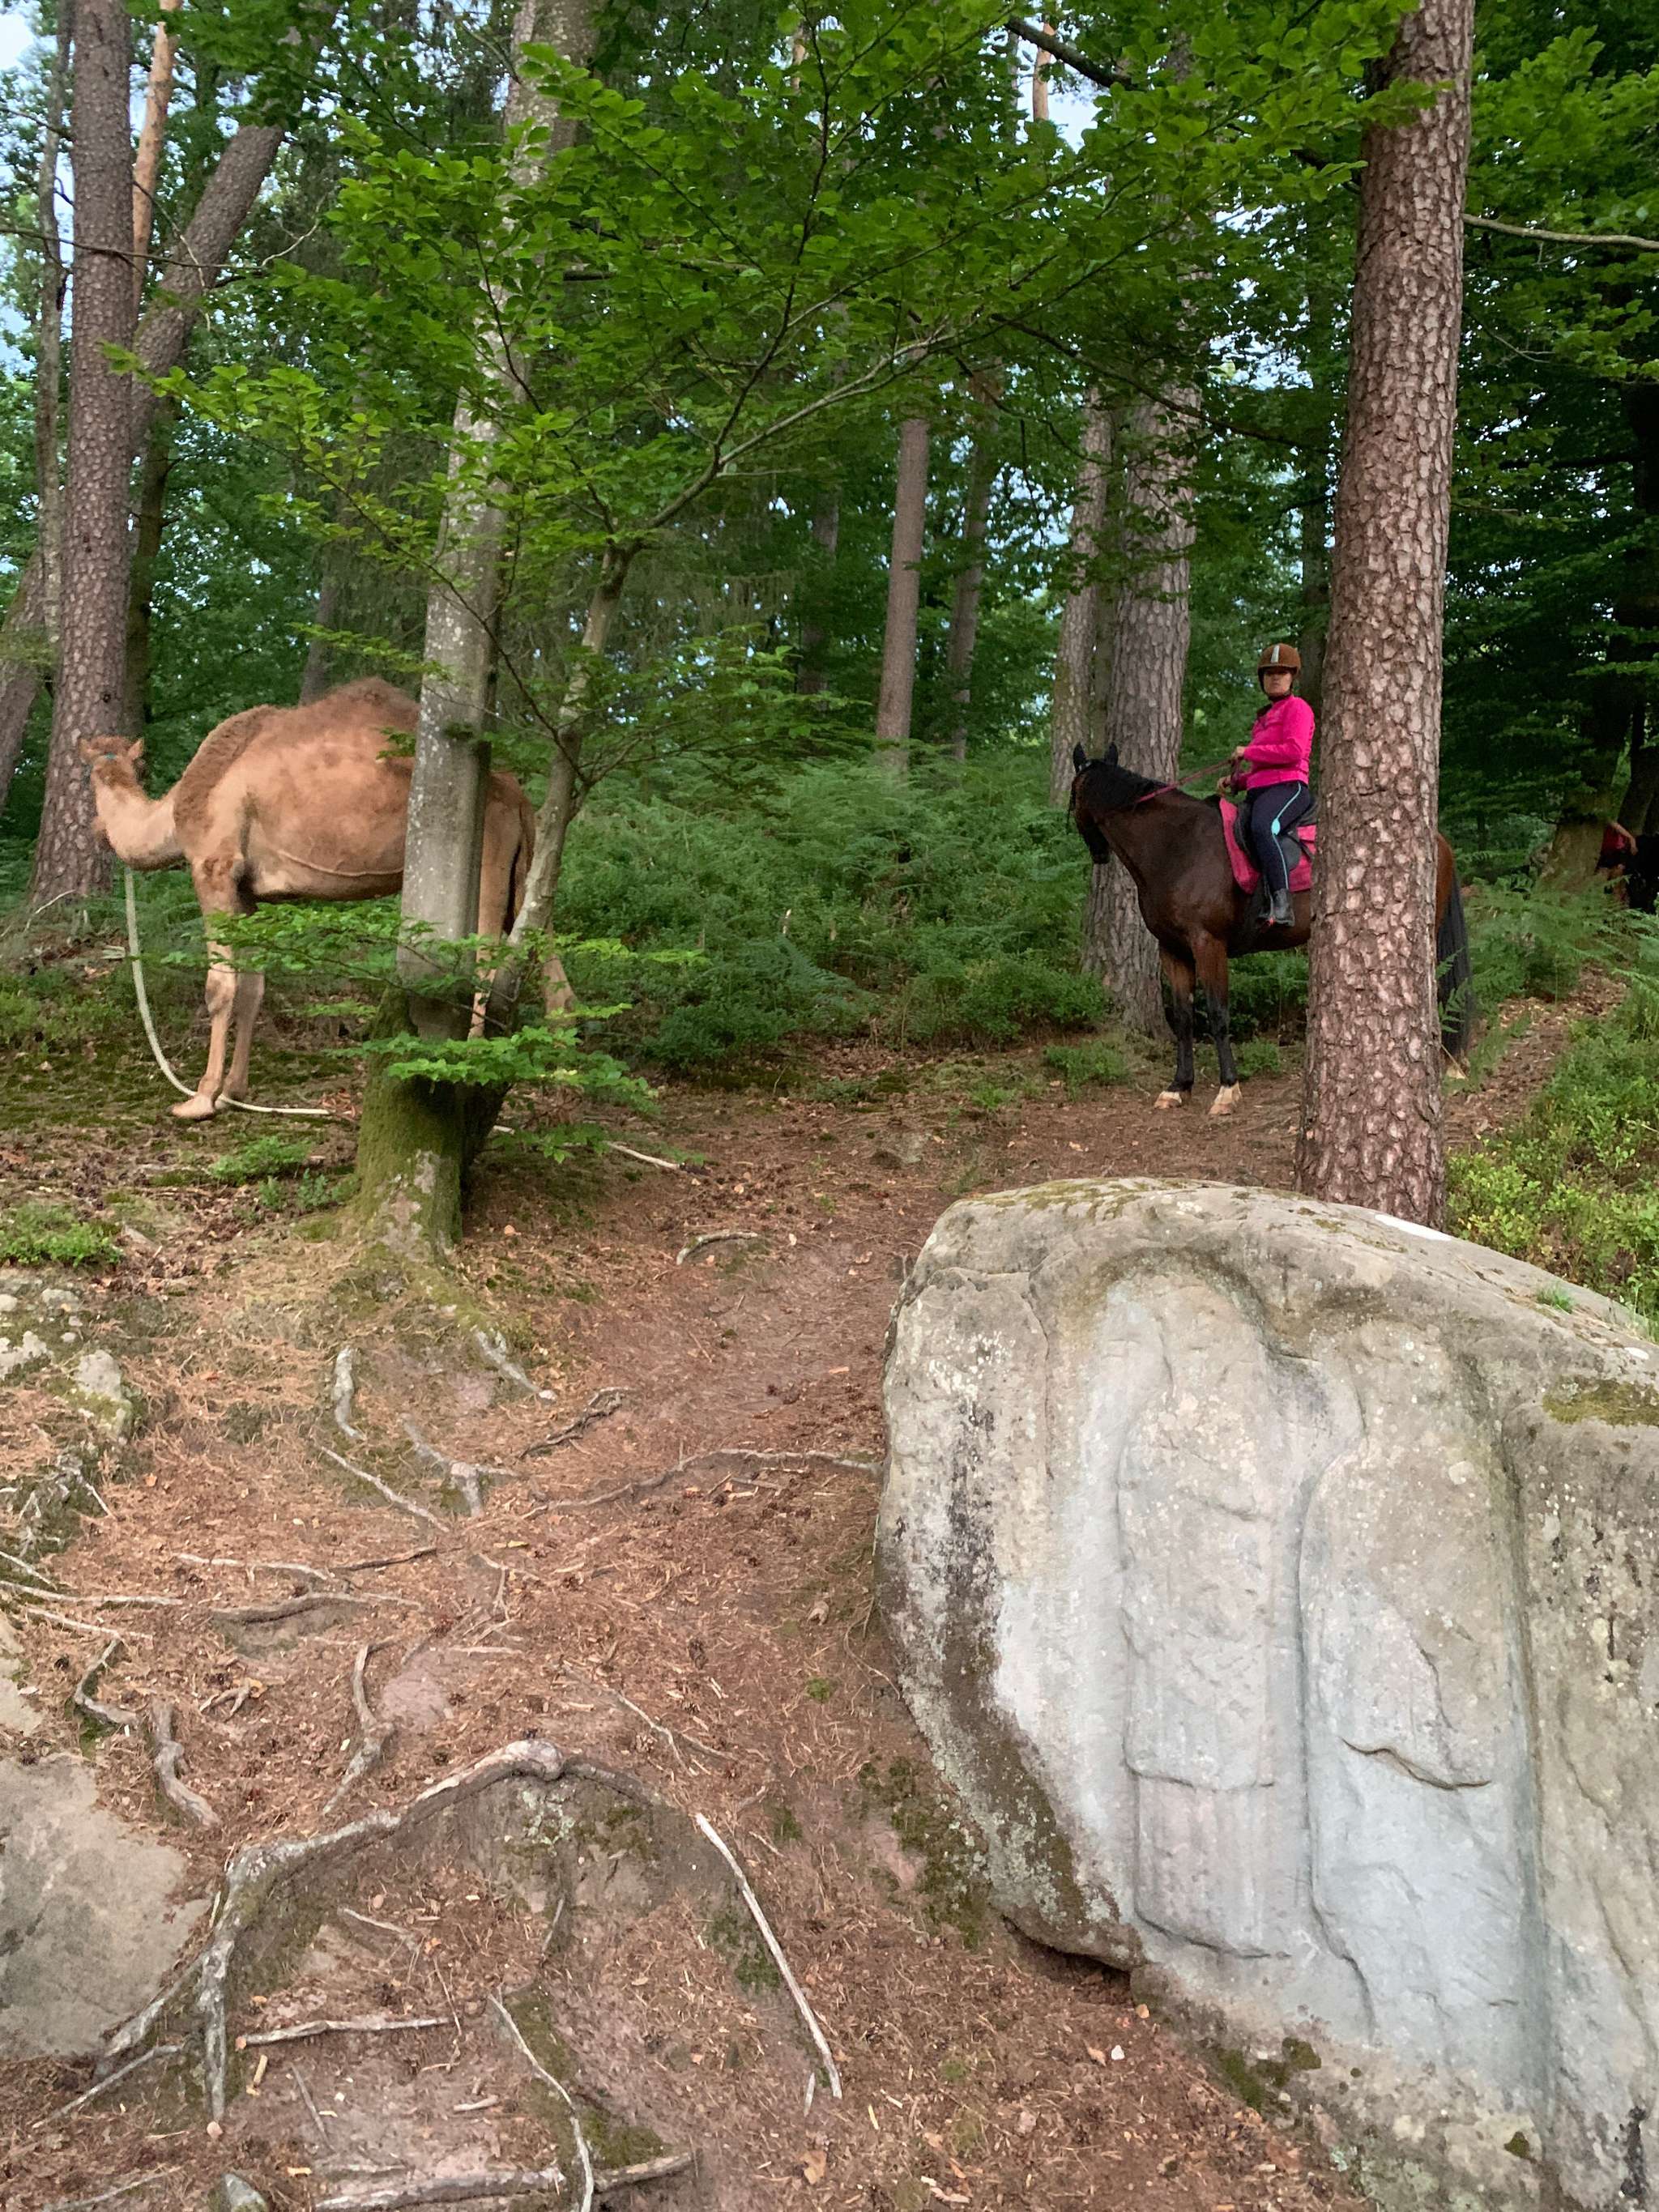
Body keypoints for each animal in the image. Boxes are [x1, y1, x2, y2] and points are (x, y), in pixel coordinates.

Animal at [82, 678, 535, 1121]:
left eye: (89, 779)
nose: (96, 828)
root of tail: (520, 797)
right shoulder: (248, 893)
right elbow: (253, 988)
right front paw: (233, 1093)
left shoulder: (215, 866)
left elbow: (220, 986)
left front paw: (201, 1099)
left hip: (488, 857)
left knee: (486, 961)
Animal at [1068, 741, 1475, 1117]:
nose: (1098, 854)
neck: (1176, 847)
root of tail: (1438, 841)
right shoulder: (1172, 949)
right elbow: (1183, 1018)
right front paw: (1178, 1086)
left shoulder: (1208, 945)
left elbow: (1217, 1014)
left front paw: (1227, 1089)